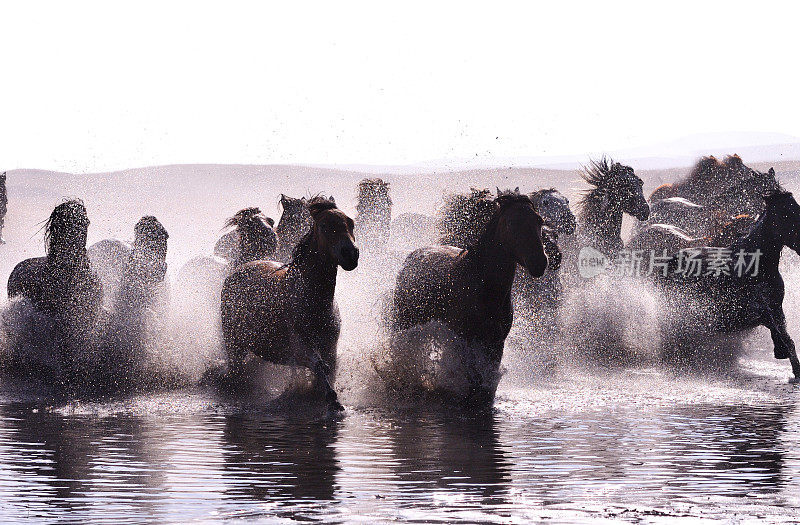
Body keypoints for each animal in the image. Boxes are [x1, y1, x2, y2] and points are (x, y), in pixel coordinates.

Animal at [219, 196, 356, 410]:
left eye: (351, 223)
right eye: (325, 226)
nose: (350, 254)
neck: (314, 300)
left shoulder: (330, 345)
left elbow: (329, 368)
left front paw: (332, 399)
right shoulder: (299, 347)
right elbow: (319, 365)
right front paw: (331, 398)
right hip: (233, 344)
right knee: (235, 370)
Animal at [388, 189, 552, 406]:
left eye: (539, 220)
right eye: (510, 223)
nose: (539, 262)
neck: (484, 289)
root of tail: (412, 257)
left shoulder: (495, 343)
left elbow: (486, 382)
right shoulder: (465, 340)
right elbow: (471, 379)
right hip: (404, 323)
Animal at [652, 190, 800, 378]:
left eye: (797, 208)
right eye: (785, 214)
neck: (756, 263)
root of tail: (670, 262)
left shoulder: (776, 307)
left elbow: (785, 335)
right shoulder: (752, 308)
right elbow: (779, 330)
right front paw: (786, 356)